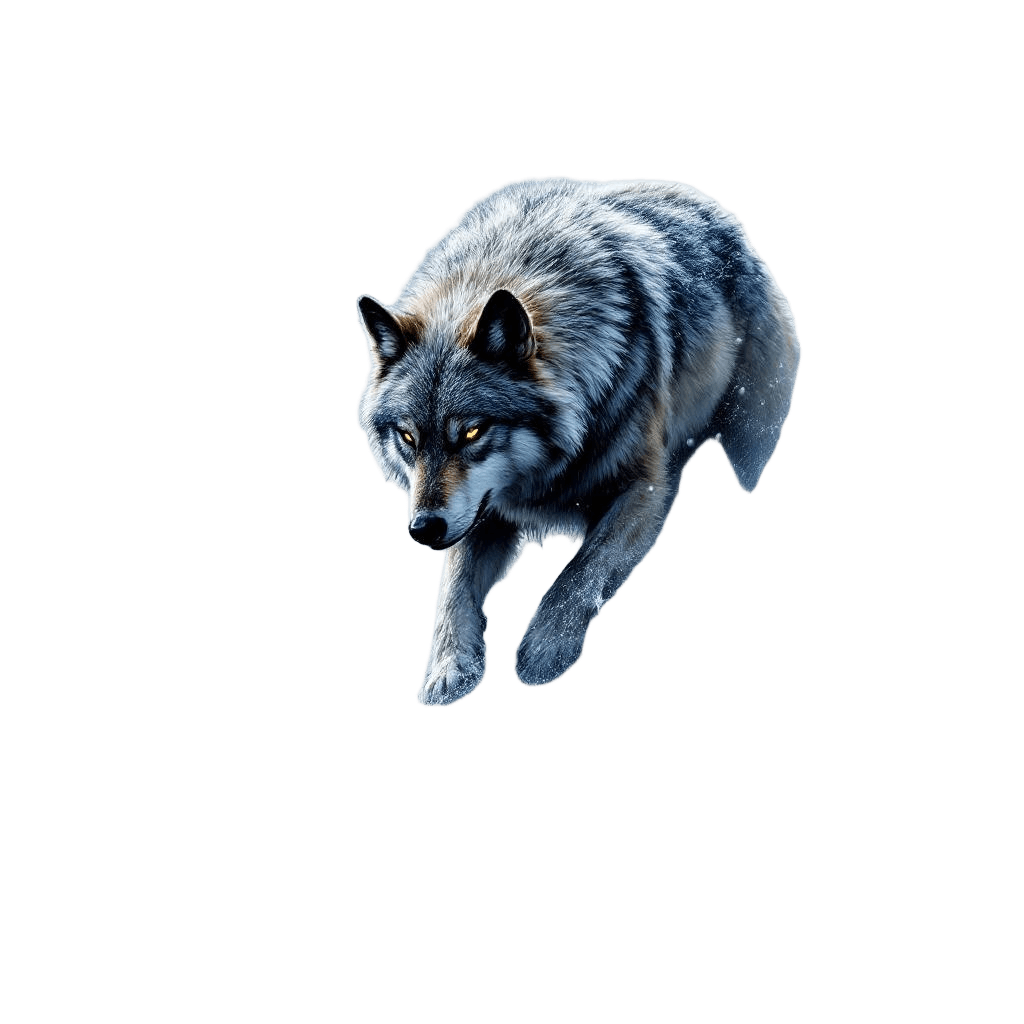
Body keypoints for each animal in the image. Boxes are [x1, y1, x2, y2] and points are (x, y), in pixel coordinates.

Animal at [356, 176, 800, 708]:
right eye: (407, 437)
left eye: (472, 431)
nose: (423, 529)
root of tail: (725, 217)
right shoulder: (486, 511)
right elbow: (454, 587)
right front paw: (446, 672)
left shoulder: (648, 489)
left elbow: (582, 572)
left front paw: (544, 651)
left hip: (750, 443)